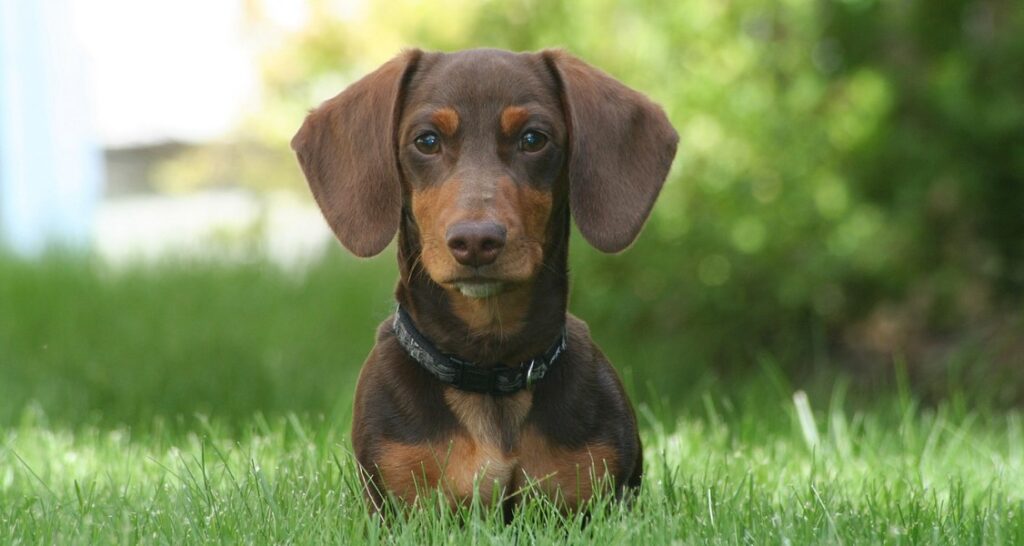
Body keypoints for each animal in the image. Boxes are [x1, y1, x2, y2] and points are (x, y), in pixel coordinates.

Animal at [292, 47, 679, 514]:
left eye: (533, 139)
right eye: (427, 141)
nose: (476, 241)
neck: (489, 370)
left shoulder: (597, 500)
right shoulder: (398, 501)